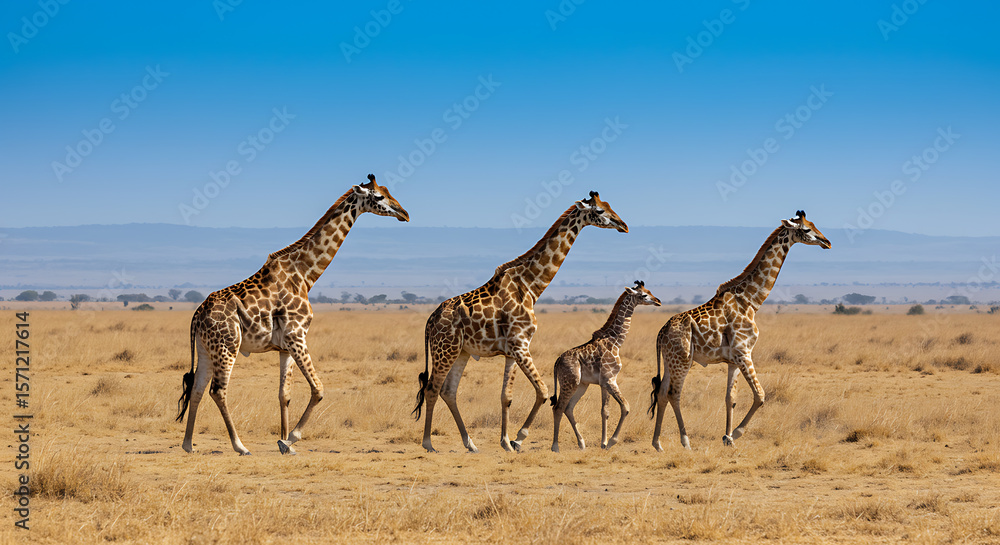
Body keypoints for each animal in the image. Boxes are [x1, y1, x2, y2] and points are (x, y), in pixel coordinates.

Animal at [176, 174, 409, 456]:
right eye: (379, 196)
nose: (405, 214)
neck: (306, 274)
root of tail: (197, 315)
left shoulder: (285, 347)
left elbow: (284, 395)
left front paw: (286, 443)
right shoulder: (297, 336)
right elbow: (318, 389)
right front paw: (289, 439)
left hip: (205, 349)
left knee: (197, 389)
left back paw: (188, 444)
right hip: (227, 346)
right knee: (218, 391)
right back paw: (240, 446)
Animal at [412, 191, 629, 453]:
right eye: (599, 211)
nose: (623, 225)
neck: (531, 287)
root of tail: (430, 321)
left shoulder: (512, 351)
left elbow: (506, 396)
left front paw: (506, 442)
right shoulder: (520, 345)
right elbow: (543, 391)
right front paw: (518, 438)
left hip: (461, 352)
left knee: (449, 391)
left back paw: (470, 443)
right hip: (445, 349)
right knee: (432, 389)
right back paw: (428, 443)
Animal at [550, 281, 661, 453]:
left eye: (650, 291)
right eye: (643, 295)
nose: (658, 301)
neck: (615, 342)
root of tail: (557, 362)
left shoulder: (604, 382)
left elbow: (605, 411)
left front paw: (603, 443)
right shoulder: (610, 380)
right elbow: (625, 407)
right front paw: (611, 442)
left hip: (581, 385)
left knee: (568, 408)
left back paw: (581, 443)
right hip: (570, 382)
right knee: (558, 408)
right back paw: (555, 446)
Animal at [649, 211, 831, 451]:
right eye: (807, 229)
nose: (827, 242)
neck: (752, 300)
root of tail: (661, 333)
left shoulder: (733, 360)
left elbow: (731, 398)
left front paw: (727, 437)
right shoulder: (744, 353)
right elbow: (760, 395)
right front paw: (735, 433)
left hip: (670, 360)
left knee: (661, 393)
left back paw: (657, 444)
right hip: (683, 360)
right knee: (674, 394)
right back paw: (685, 442)